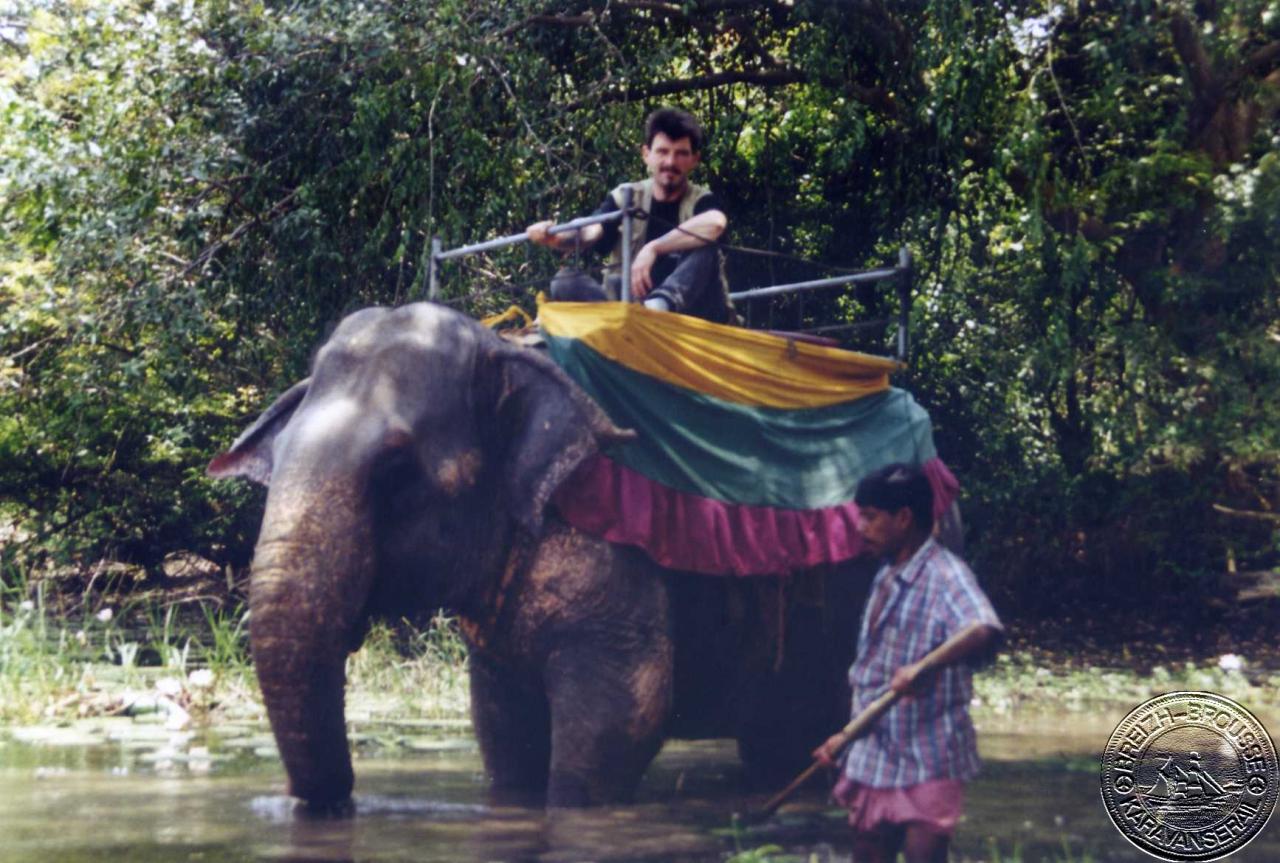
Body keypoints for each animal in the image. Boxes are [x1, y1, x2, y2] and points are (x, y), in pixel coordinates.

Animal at [212, 302, 890, 809]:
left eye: (396, 470)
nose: (333, 802)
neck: (504, 346)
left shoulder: (617, 549)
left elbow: (624, 716)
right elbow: (501, 727)